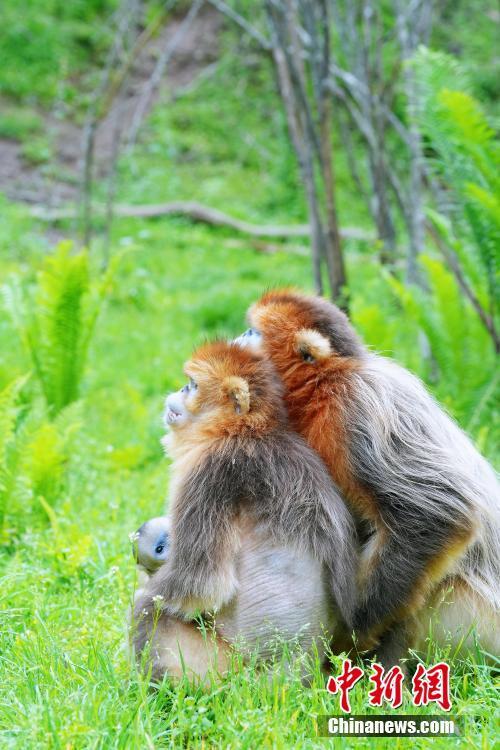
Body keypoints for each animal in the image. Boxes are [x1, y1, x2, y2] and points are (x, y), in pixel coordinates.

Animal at [238, 288, 500, 664]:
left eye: (254, 332)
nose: (239, 337)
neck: (326, 386)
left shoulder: (356, 407)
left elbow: (437, 515)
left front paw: (354, 632)